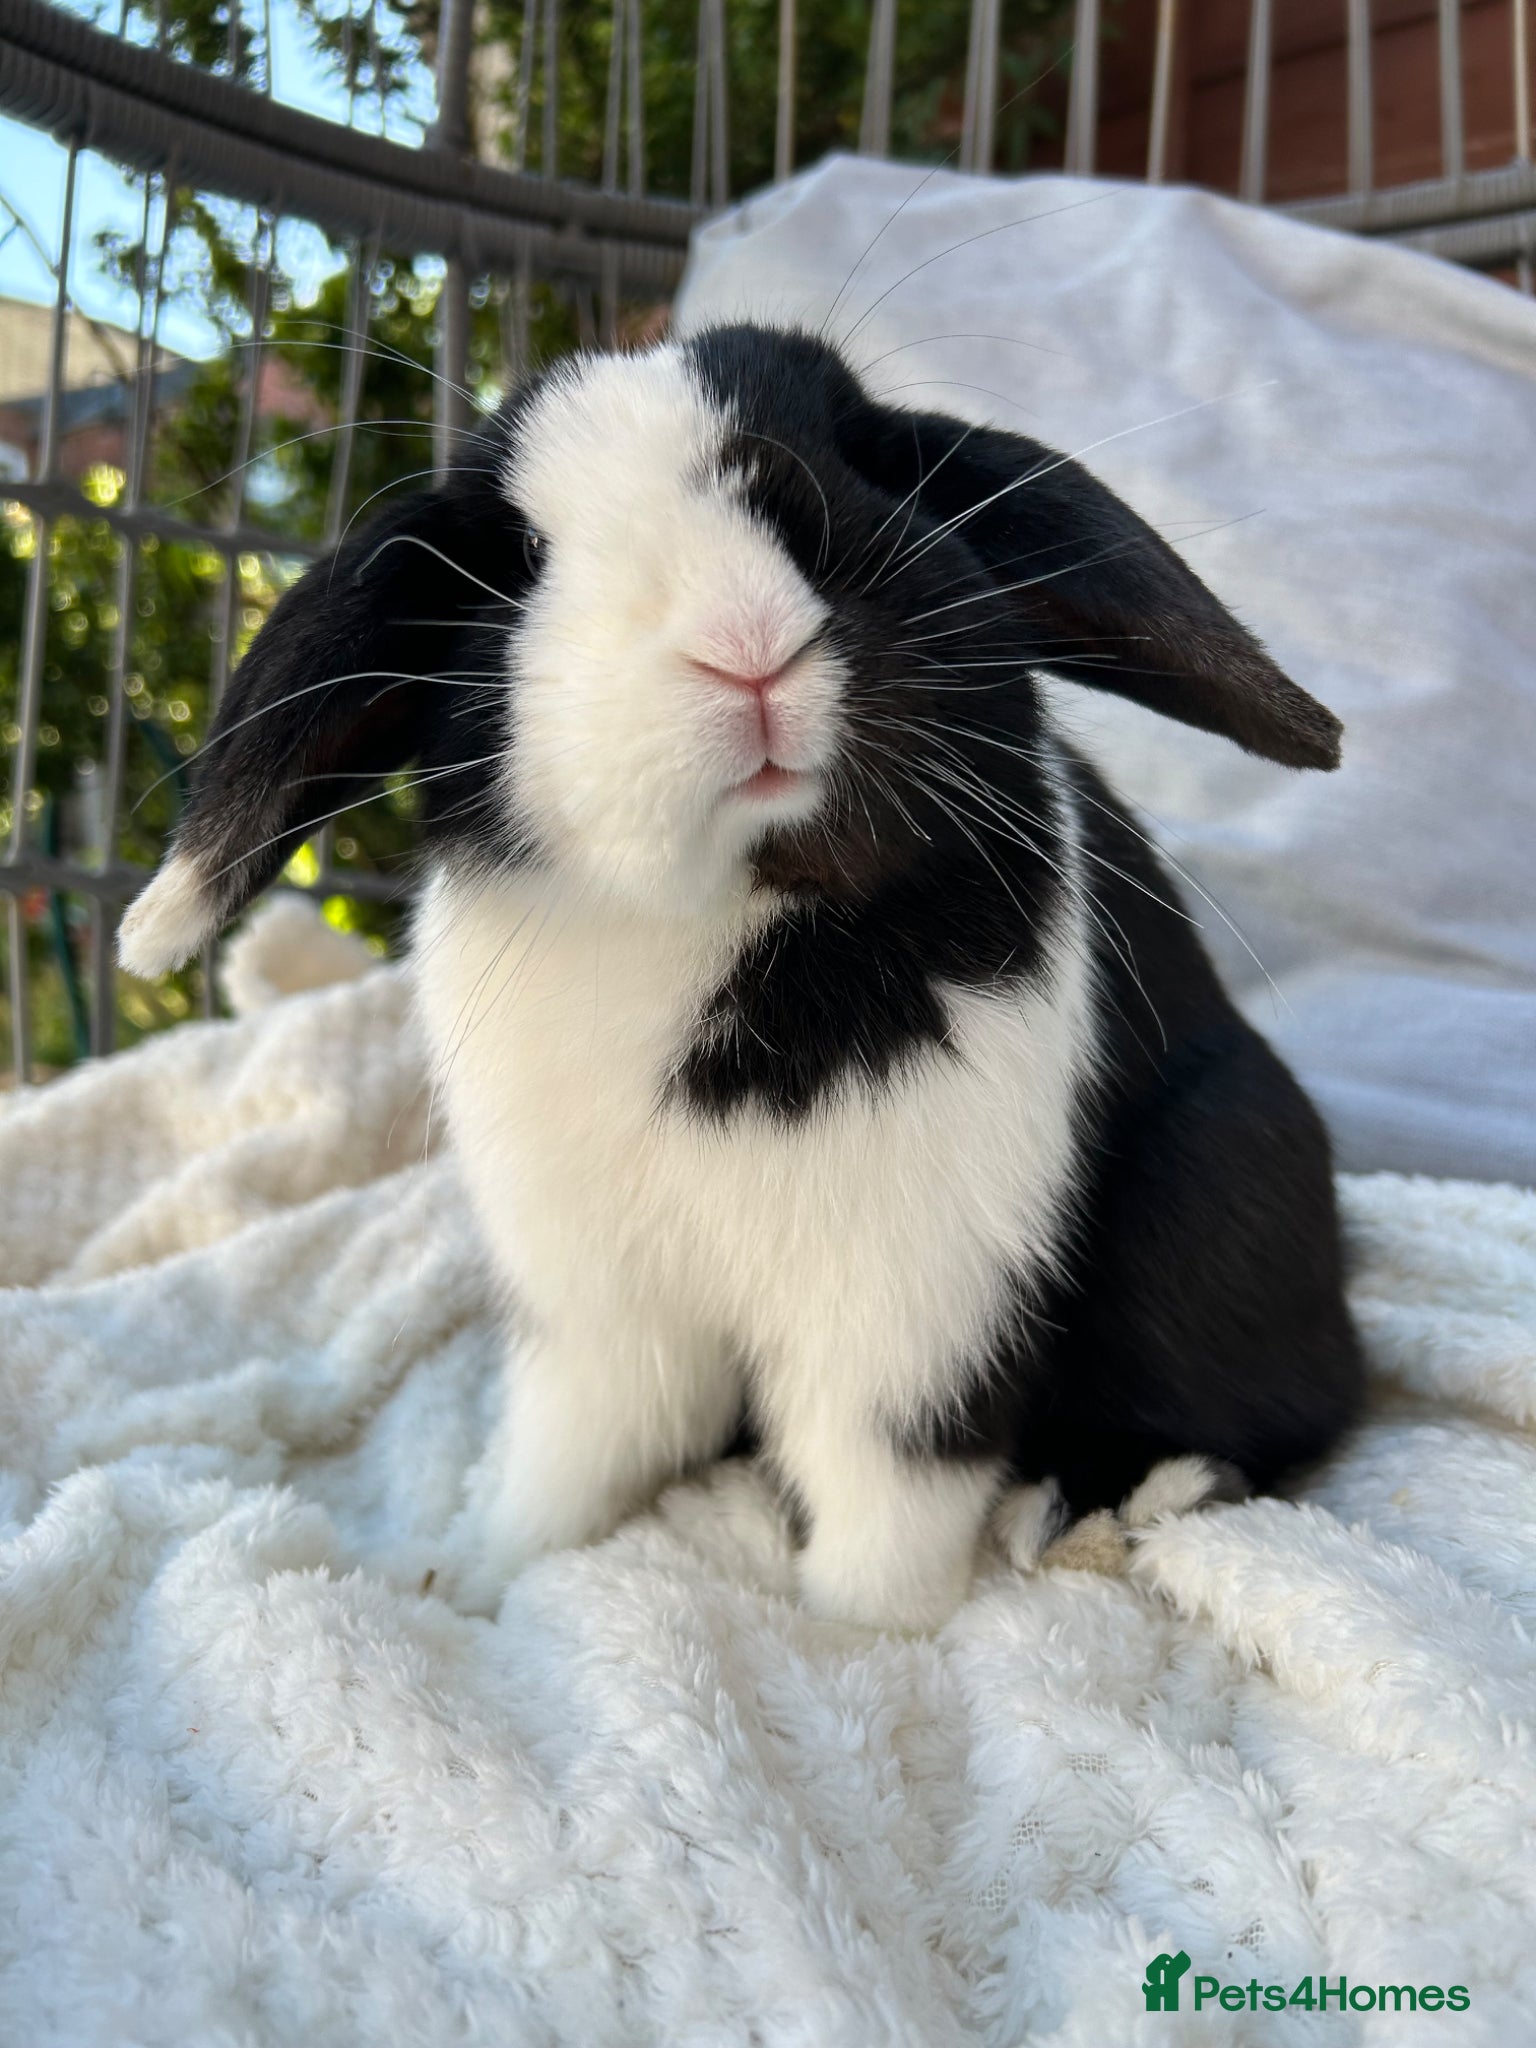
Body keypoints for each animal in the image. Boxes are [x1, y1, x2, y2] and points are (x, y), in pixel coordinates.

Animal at [120, 323, 1364, 1630]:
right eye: (521, 556)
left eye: (865, 462)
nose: (745, 639)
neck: (718, 910)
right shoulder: (598, 1307)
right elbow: (573, 1452)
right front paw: (470, 1574)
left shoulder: (913, 1313)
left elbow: (884, 1492)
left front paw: (854, 1633)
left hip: (1225, 1173)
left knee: (1292, 1404)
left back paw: (1101, 1502)